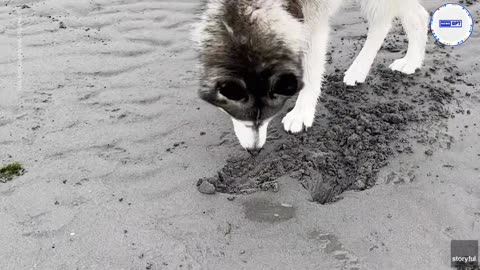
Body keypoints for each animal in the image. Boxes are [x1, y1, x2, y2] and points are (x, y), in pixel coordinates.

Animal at [193, 0, 430, 154]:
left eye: (270, 109)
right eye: (230, 106)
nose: (254, 150)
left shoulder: (312, 19)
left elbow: (311, 68)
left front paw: (301, 112)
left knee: (388, 21)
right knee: (415, 16)